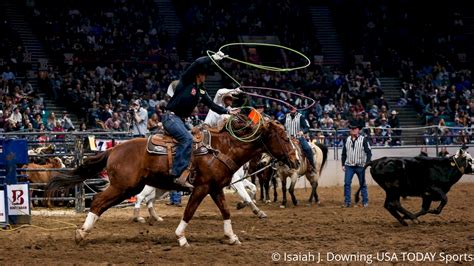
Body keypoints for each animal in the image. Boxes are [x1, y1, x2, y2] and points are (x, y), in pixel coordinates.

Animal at [46, 116, 298, 247]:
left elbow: (226, 211)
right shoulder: (202, 187)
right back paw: (82, 233)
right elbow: (189, 211)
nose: (295, 161)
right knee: (99, 201)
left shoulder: (216, 187)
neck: (221, 148)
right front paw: (181, 237)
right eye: (284, 137)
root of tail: (114, 149)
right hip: (124, 187)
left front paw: (232, 236)